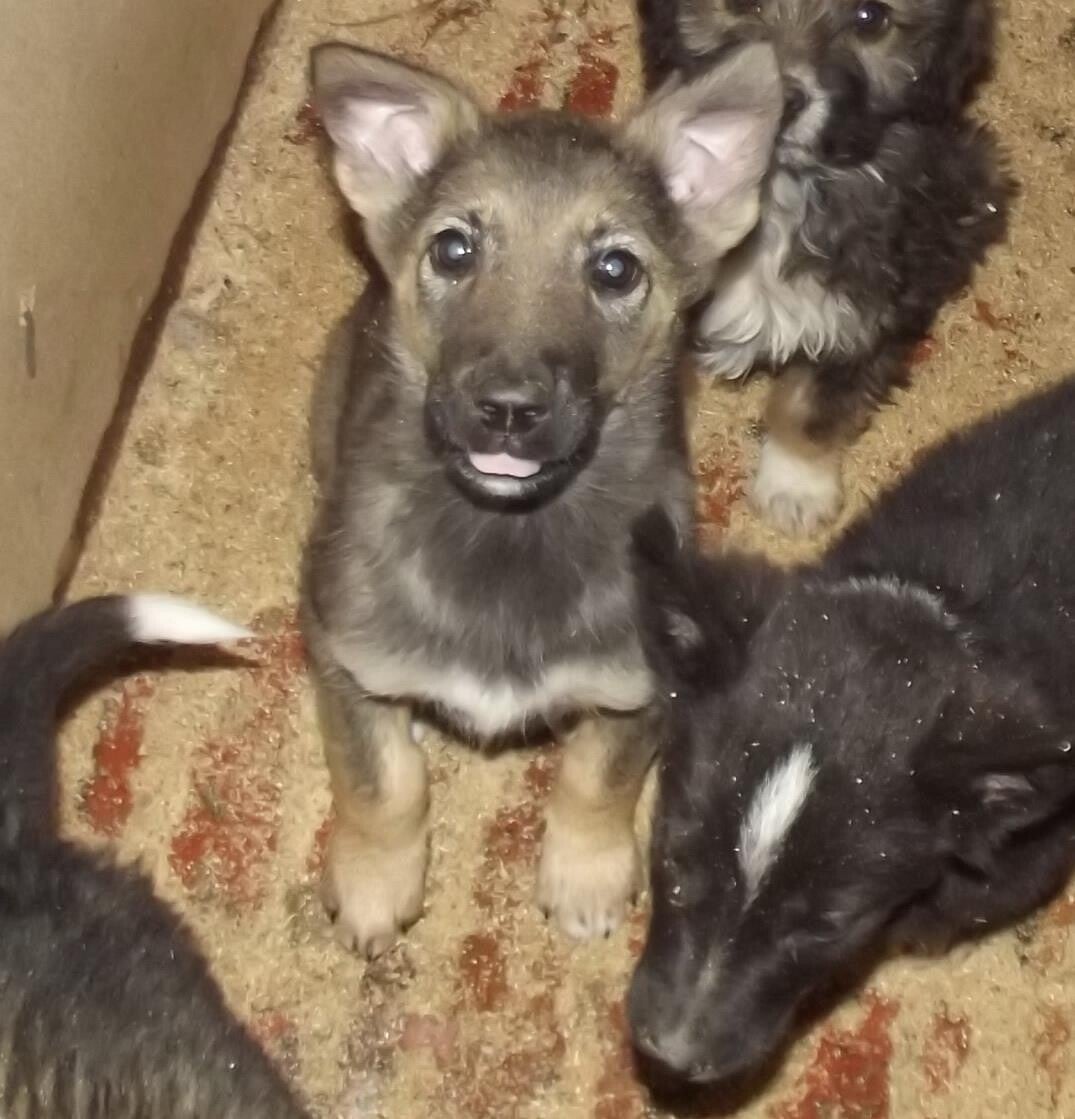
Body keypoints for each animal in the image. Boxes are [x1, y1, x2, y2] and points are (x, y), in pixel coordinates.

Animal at [300, 40, 784, 957]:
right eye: (453, 250)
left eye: (615, 268)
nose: (508, 408)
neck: (508, 538)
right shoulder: (340, 652)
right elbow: (381, 782)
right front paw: (375, 880)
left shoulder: (642, 677)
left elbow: (597, 778)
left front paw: (586, 874)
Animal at [636, 0, 1015, 533]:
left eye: (869, 17)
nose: (786, 100)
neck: (778, 190)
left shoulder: (863, 311)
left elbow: (809, 405)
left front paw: (794, 485)